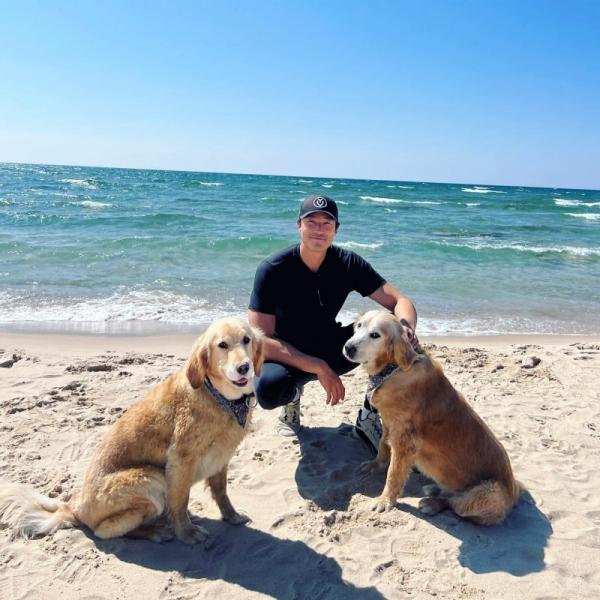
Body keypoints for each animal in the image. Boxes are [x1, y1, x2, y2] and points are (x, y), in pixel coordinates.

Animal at [0, 318, 264, 544]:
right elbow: (180, 501)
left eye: (246, 340)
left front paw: (232, 517)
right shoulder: (180, 461)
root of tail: (73, 507)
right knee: (106, 530)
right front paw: (187, 533)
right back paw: (156, 532)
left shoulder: (221, 458)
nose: (244, 367)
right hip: (152, 479)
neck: (222, 399)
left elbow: (221, 492)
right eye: (222, 345)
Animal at [344, 310, 524, 524]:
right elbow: (382, 446)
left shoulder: (406, 442)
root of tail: (515, 492)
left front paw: (385, 500)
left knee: (455, 504)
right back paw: (434, 489)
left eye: (375, 335)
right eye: (359, 326)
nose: (348, 347)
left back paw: (432, 503)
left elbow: (393, 474)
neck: (393, 369)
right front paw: (375, 465)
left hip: (487, 494)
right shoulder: (389, 424)